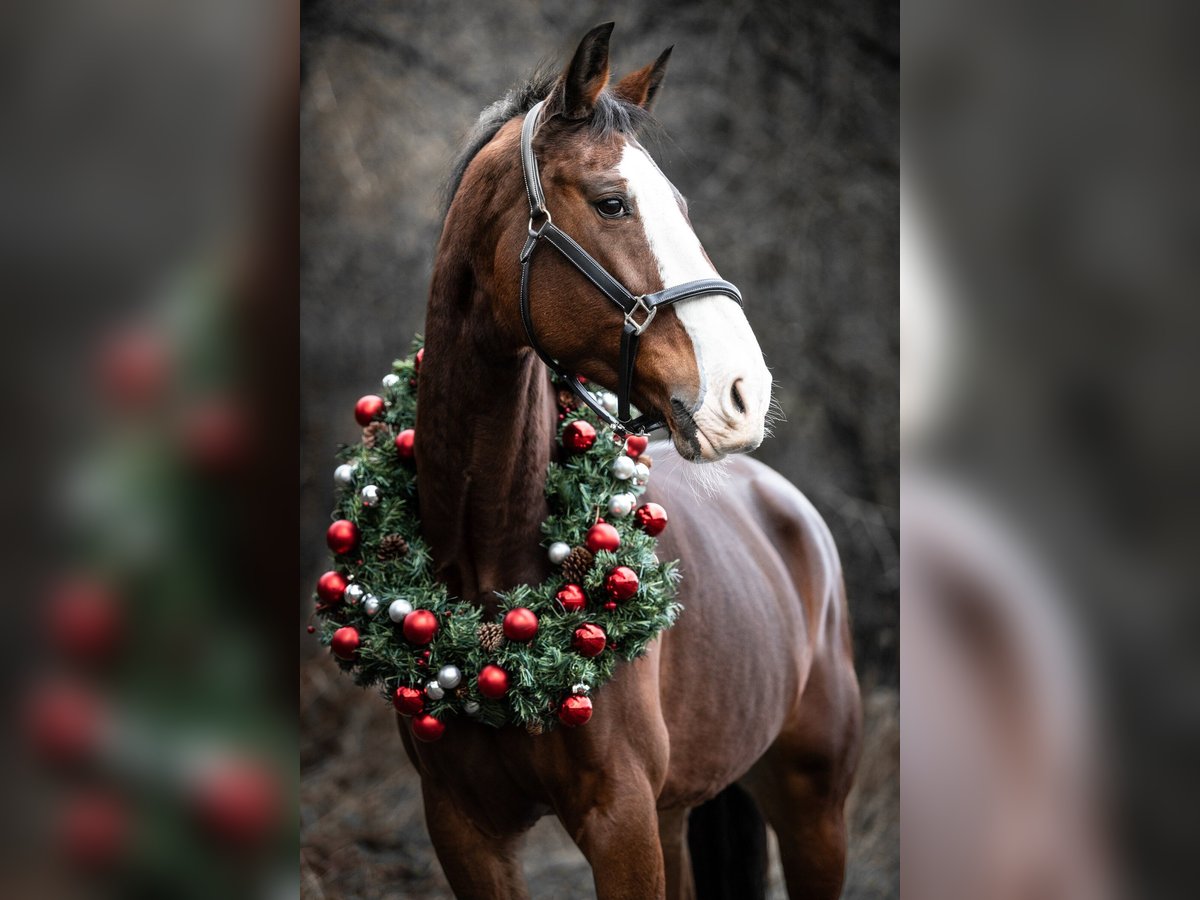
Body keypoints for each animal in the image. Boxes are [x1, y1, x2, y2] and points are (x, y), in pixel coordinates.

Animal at [404, 23, 861, 900]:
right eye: (611, 202)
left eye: (680, 206)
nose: (745, 393)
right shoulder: (463, 829)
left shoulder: (619, 822)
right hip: (678, 814)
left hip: (813, 811)